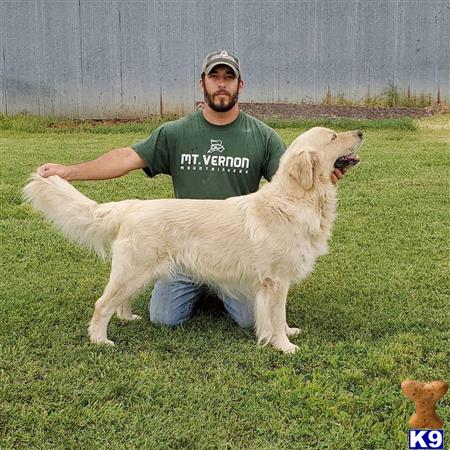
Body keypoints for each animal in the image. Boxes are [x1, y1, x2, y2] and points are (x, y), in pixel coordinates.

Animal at [23, 125, 362, 352]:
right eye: (333, 137)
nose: (360, 132)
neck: (297, 198)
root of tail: (131, 206)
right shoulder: (276, 280)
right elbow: (276, 316)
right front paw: (283, 345)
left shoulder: (276, 282)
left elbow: (279, 315)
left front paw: (289, 332)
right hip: (133, 270)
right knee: (102, 304)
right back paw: (100, 339)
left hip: (140, 272)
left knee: (119, 302)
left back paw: (128, 317)